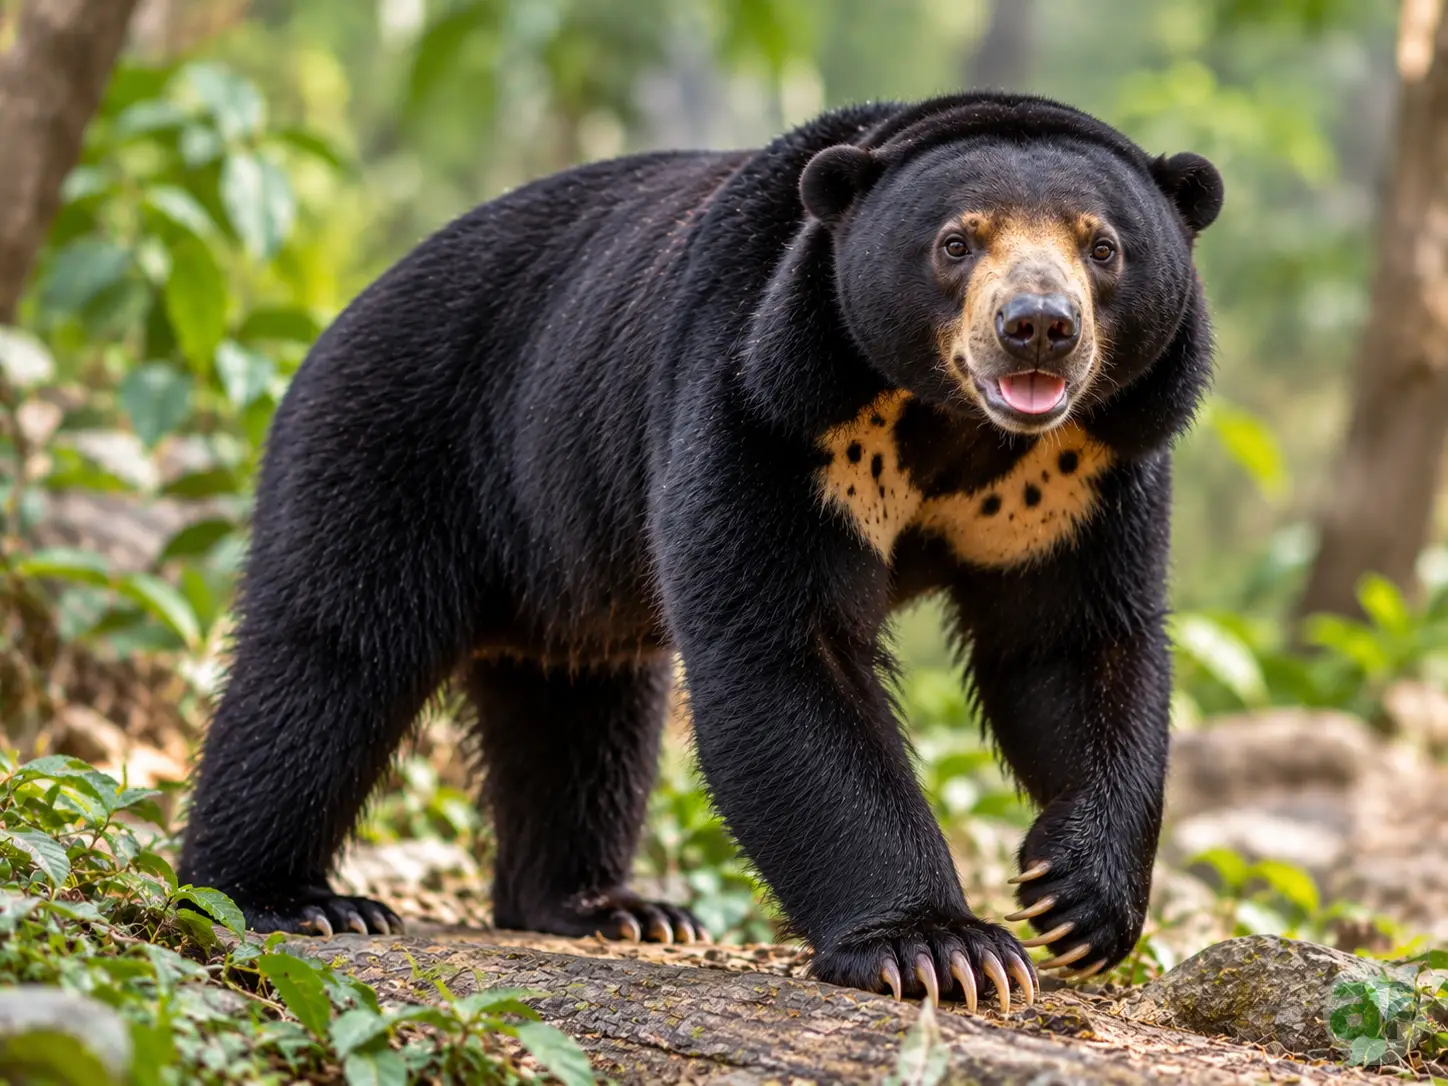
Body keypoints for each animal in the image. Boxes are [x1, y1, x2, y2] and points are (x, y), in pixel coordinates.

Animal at [178, 91, 1222, 1009]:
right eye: (955, 243)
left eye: (1103, 247)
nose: (1038, 328)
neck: (955, 430)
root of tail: (340, 318)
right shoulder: (763, 403)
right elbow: (779, 655)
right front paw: (942, 949)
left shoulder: (1084, 475)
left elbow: (1072, 648)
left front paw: (1074, 901)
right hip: (394, 438)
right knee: (332, 660)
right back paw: (289, 900)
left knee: (578, 708)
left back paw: (607, 907)